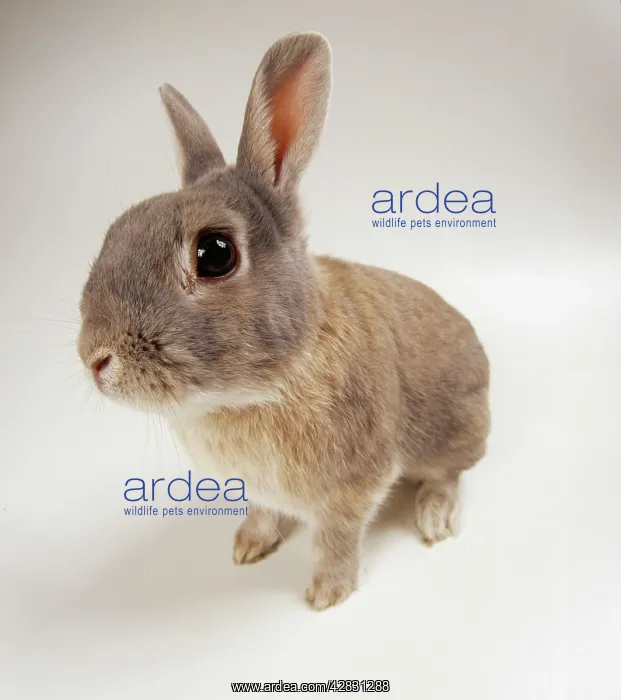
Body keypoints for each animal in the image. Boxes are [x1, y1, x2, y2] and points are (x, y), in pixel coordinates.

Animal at [77, 31, 490, 610]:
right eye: (116, 230)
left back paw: (433, 516)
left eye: (215, 253)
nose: (93, 357)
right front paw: (248, 547)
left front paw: (328, 593)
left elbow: (338, 538)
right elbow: (263, 512)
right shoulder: (258, 489)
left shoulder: (351, 487)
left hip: (453, 434)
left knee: (451, 474)